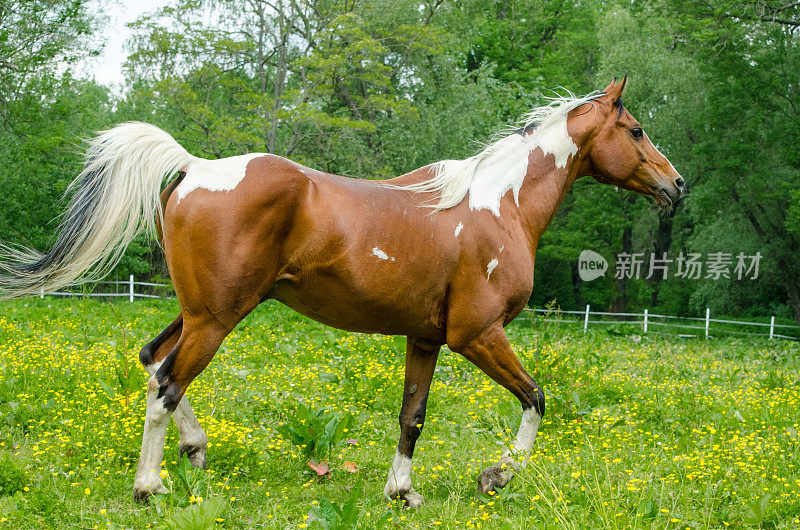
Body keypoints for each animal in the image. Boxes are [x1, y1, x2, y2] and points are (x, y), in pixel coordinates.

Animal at [0, 75, 684, 504]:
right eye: (637, 129)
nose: (676, 186)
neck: (501, 206)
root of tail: (195, 167)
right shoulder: (477, 335)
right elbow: (536, 399)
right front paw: (496, 477)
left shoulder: (426, 340)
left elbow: (413, 417)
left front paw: (402, 492)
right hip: (217, 317)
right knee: (166, 384)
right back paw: (150, 486)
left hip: (201, 311)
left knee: (152, 363)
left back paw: (194, 452)